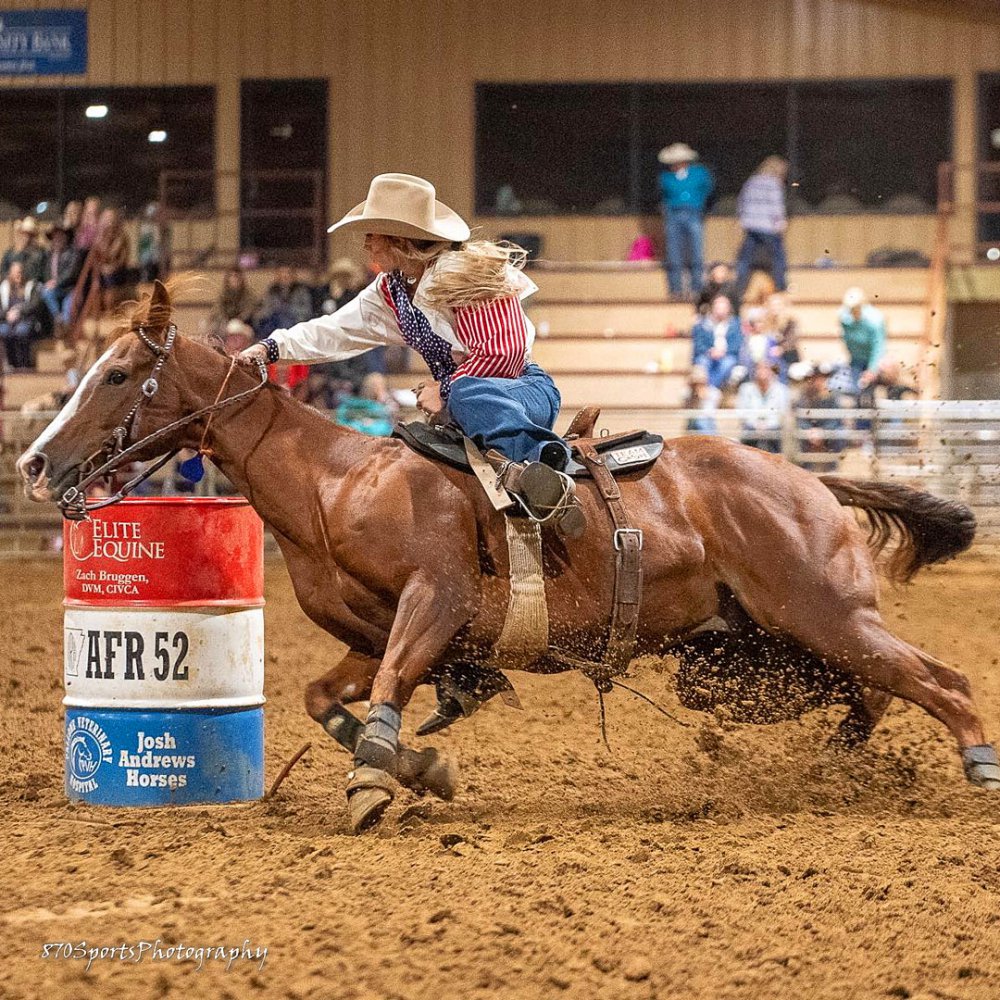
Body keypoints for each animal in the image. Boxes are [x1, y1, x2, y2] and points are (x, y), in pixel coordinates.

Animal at [15, 282, 1000, 828]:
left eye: (114, 375)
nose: (34, 463)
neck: (339, 483)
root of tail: (813, 484)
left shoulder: (434, 603)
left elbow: (386, 688)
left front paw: (374, 784)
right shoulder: (370, 631)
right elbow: (325, 696)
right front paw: (418, 767)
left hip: (822, 616)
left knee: (938, 681)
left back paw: (974, 767)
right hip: (749, 657)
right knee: (874, 691)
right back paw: (835, 766)